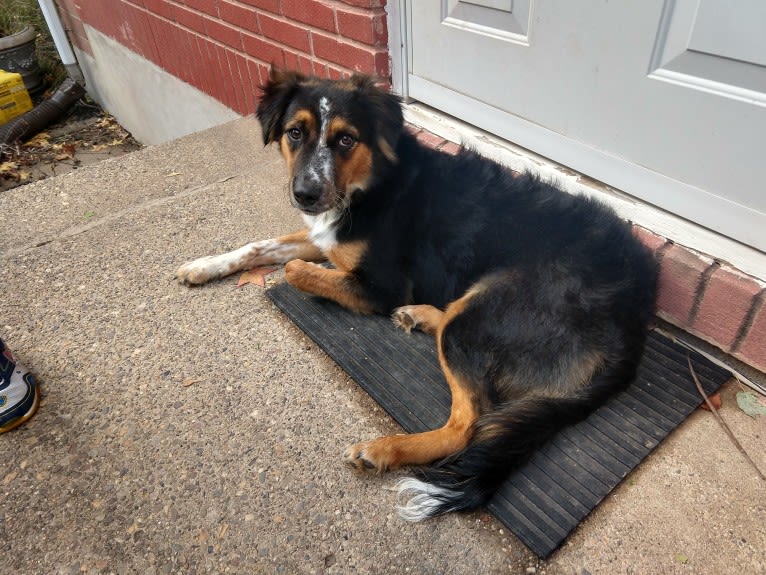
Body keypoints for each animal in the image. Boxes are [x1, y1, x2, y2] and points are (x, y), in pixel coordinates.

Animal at [178, 68, 660, 520]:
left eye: (346, 139)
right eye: (295, 132)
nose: (306, 194)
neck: (373, 181)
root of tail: (633, 319)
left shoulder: (379, 285)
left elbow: (296, 271)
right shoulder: (328, 238)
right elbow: (260, 246)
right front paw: (202, 266)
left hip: (480, 316)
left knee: (467, 424)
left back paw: (385, 449)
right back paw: (422, 316)